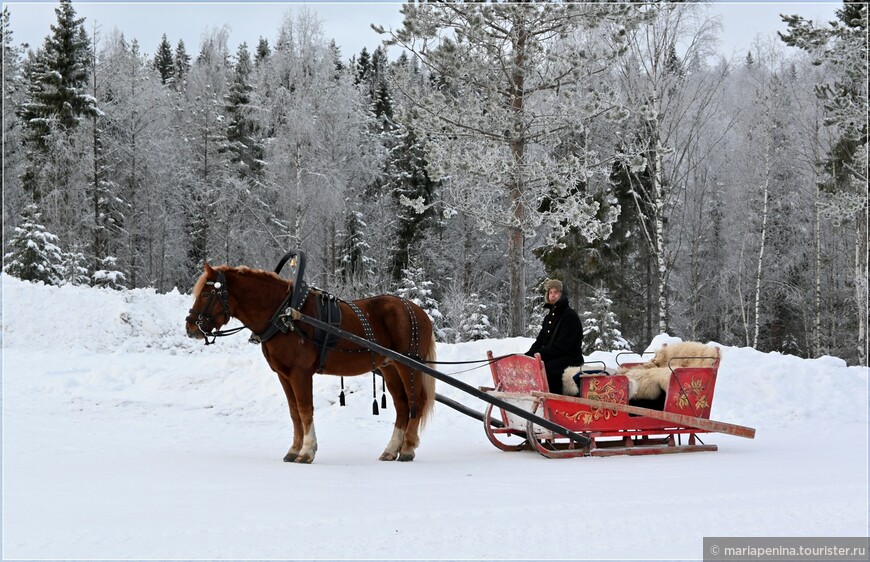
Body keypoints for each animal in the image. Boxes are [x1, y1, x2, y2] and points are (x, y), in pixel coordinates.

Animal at [184, 264, 436, 462]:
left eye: (206, 294)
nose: (190, 327)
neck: (284, 315)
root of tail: (418, 311)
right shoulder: (284, 375)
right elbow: (294, 412)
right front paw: (294, 449)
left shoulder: (300, 373)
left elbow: (305, 409)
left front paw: (306, 451)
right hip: (390, 367)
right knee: (402, 405)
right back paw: (391, 449)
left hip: (409, 366)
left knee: (417, 401)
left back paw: (408, 448)